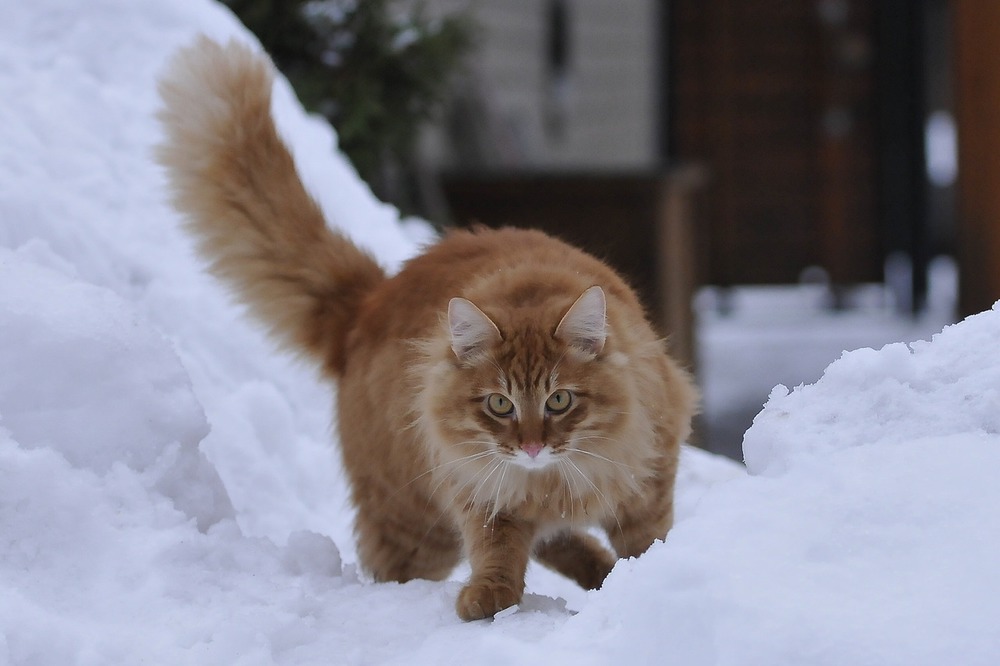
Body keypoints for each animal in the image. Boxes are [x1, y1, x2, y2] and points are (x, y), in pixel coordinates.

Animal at [158, 35, 696, 616]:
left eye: (559, 401)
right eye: (499, 405)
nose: (531, 445)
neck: (554, 480)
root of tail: (369, 301)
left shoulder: (649, 473)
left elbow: (645, 540)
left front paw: (645, 579)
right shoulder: (481, 489)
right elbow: (497, 548)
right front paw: (491, 597)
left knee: (557, 540)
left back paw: (599, 572)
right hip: (414, 520)